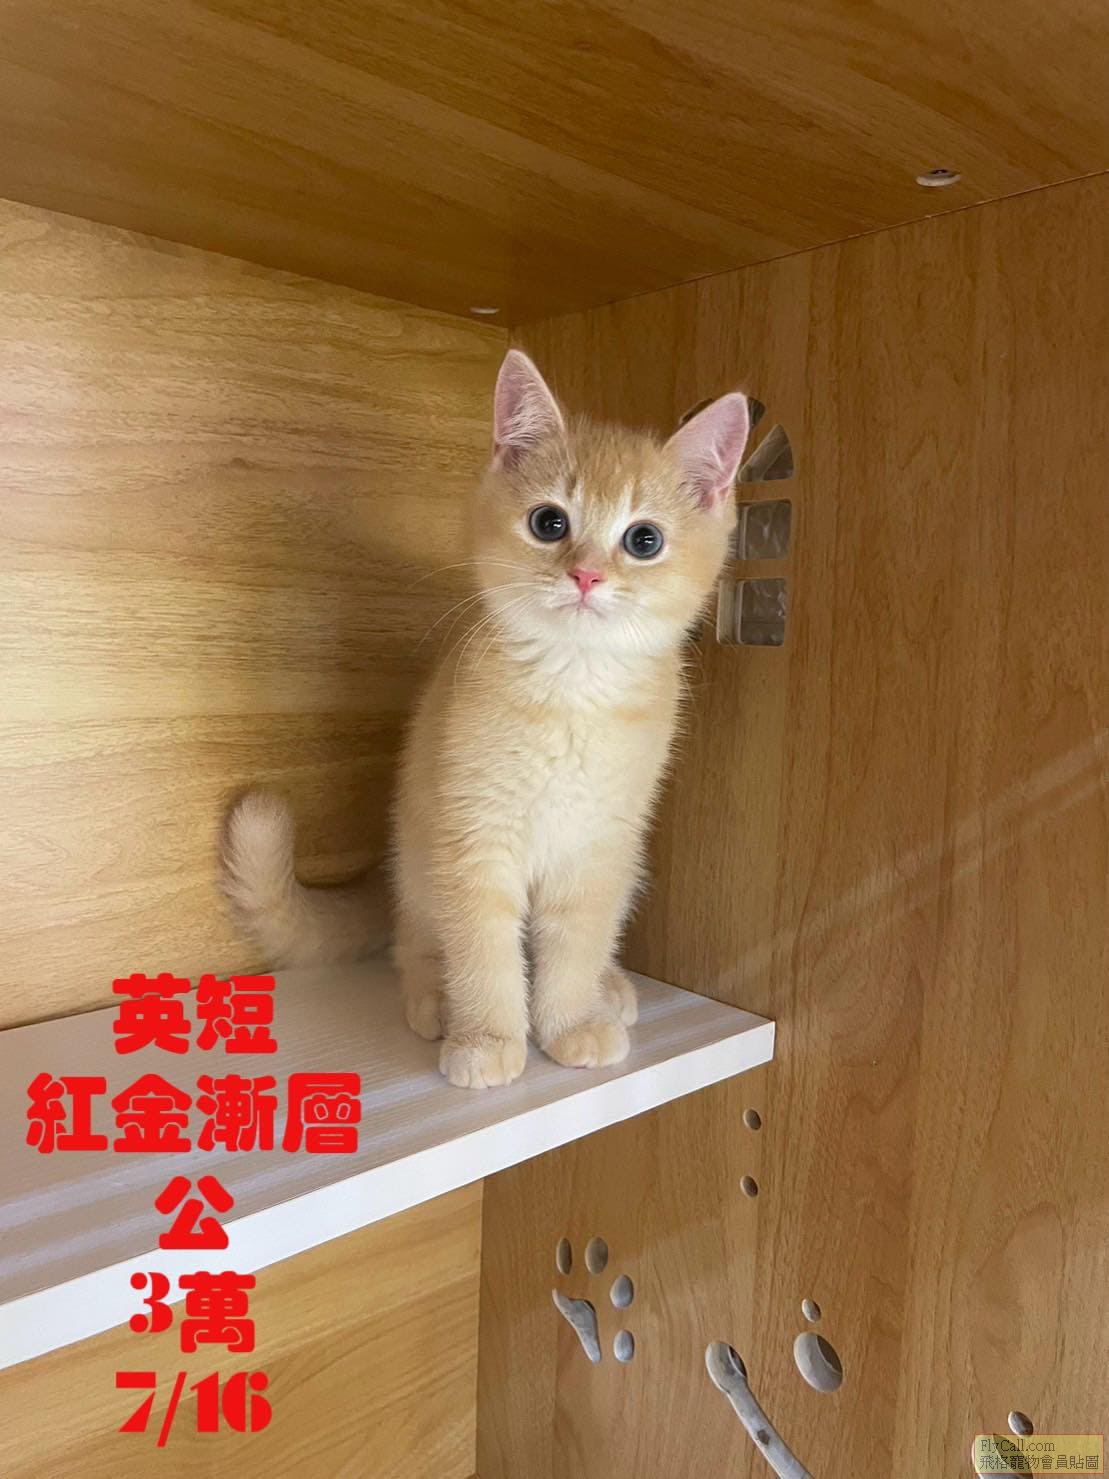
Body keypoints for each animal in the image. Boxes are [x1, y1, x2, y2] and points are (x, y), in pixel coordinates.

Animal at [223, 350, 749, 1088]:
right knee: (415, 942)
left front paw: (569, 1020)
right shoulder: (472, 836)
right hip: (419, 855)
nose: (586, 575)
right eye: (550, 523)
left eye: (643, 540)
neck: (570, 688)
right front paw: (488, 1036)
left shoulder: (599, 844)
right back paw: (435, 996)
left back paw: (607, 988)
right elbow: (483, 947)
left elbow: (576, 940)